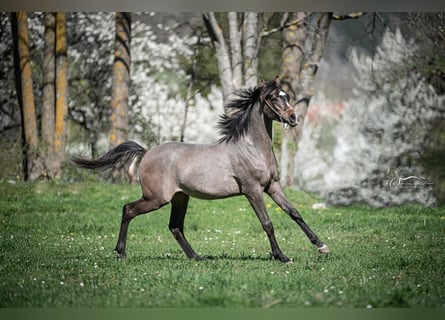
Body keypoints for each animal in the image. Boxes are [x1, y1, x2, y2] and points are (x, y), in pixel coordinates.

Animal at [72, 77, 330, 262]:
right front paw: (281, 256)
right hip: (155, 198)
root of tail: (146, 153)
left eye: (287, 96)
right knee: (128, 210)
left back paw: (197, 257)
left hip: (180, 198)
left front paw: (322, 246)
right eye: (275, 98)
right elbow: (267, 223)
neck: (251, 148)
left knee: (175, 227)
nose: (294, 118)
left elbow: (295, 213)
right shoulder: (253, 190)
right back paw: (121, 253)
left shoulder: (272, 186)